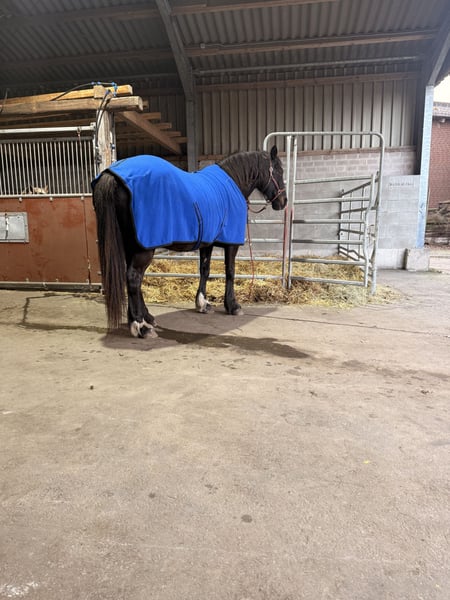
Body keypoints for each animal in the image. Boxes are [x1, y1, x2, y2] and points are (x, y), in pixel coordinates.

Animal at [92, 145, 287, 338]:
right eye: (279, 170)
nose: (283, 201)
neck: (232, 182)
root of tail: (112, 174)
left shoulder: (208, 242)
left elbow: (204, 270)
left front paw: (203, 304)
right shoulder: (231, 244)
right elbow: (230, 272)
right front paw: (233, 306)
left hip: (131, 245)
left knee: (133, 280)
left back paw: (146, 318)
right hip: (143, 248)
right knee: (133, 278)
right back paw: (141, 326)